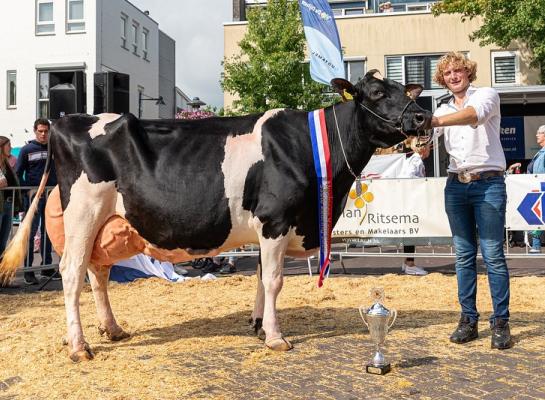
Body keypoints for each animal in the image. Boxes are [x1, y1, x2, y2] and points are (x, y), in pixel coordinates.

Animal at [1, 70, 430, 360]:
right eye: (377, 93)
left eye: (404, 90)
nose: (422, 116)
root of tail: (65, 121)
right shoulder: (275, 220)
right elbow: (274, 281)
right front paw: (276, 337)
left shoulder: (267, 228)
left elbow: (260, 279)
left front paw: (258, 326)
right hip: (83, 214)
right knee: (72, 274)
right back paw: (79, 345)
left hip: (105, 225)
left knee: (97, 273)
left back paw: (112, 329)